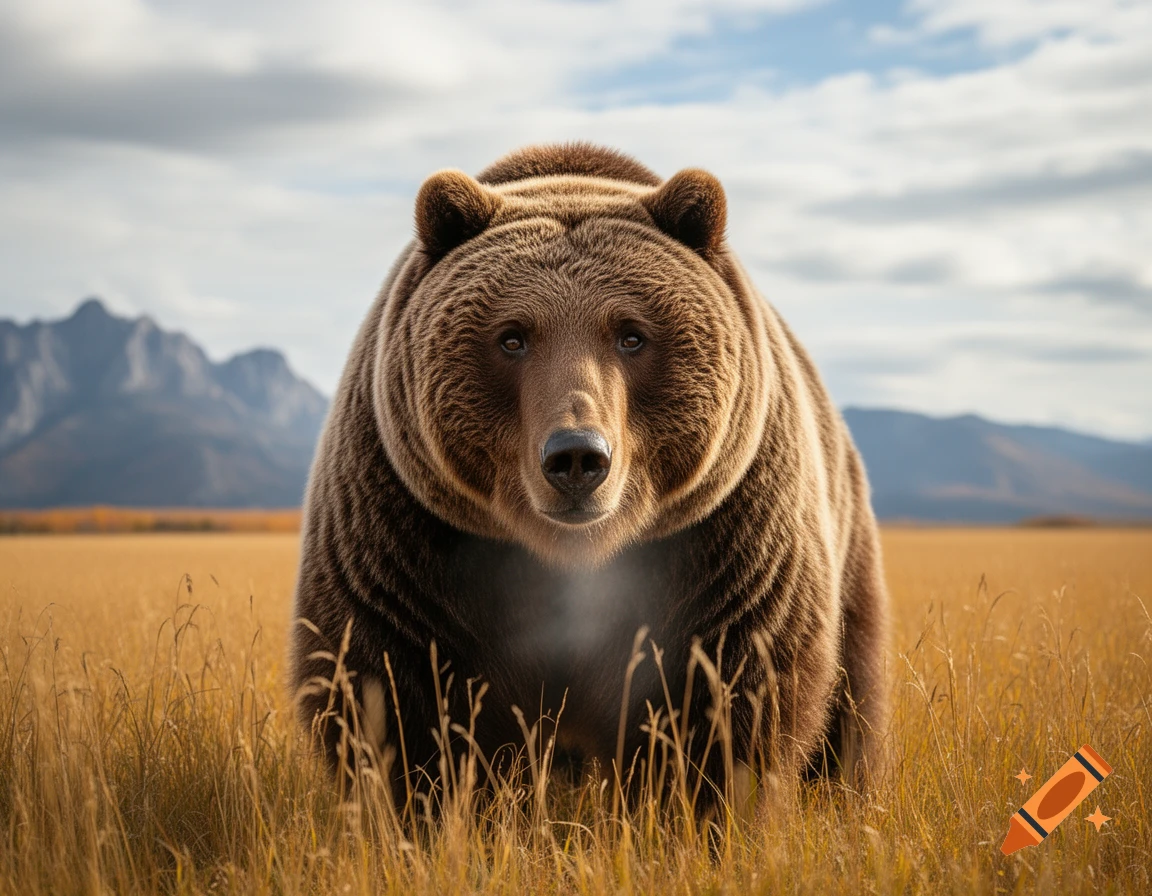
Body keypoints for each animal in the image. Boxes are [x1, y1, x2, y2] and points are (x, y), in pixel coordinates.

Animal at [290, 142, 889, 810]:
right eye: (512, 337)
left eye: (631, 334)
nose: (576, 455)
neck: (572, 554)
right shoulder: (408, 534)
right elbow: (395, 693)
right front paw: (429, 809)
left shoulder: (723, 541)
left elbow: (726, 696)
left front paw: (694, 809)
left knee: (852, 696)